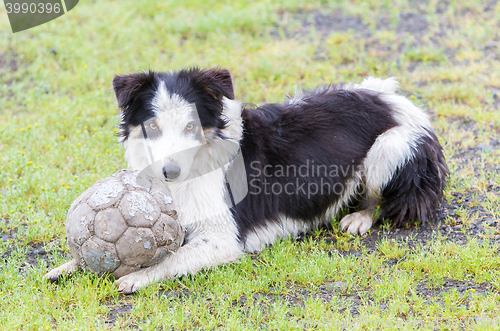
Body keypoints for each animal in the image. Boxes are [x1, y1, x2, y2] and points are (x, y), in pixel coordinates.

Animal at [49, 68, 450, 294]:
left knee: (381, 200)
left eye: (192, 126)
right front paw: (69, 265)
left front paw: (140, 275)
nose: (169, 172)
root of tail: (394, 97)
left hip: (390, 147)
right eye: (152, 126)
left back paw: (359, 217)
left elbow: (174, 256)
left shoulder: (225, 238)